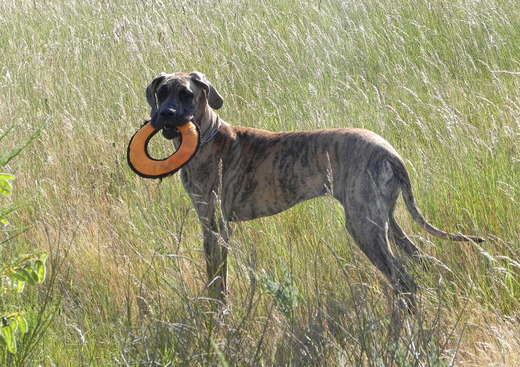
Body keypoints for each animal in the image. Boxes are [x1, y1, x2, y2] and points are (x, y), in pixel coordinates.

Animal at [144, 70, 486, 310]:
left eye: (187, 94)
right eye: (162, 92)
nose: (165, 115)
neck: (206, 135)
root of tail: (390, 152)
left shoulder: (216, 227)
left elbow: (218, 279)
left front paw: (217, 314)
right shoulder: (211, 226)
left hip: (364, 227)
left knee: (404, 281)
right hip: (384, 221)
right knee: (423, 263)